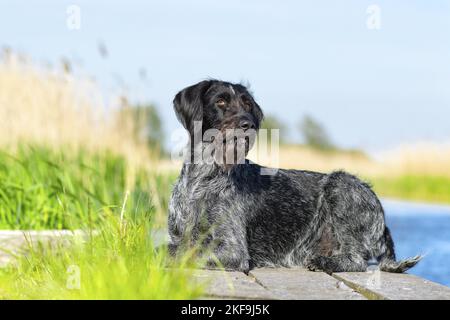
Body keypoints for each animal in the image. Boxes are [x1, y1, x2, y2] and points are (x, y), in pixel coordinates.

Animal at [167, 79, 420, 274]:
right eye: (220, 102)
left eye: (247, 103)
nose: (248, 124)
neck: (204, 176)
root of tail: (383, 224)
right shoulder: (177, 237)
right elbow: (173, 248)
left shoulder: (232, 249)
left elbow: (183, 253)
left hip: (341, 183)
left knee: (357, 261)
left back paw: (325, 262)